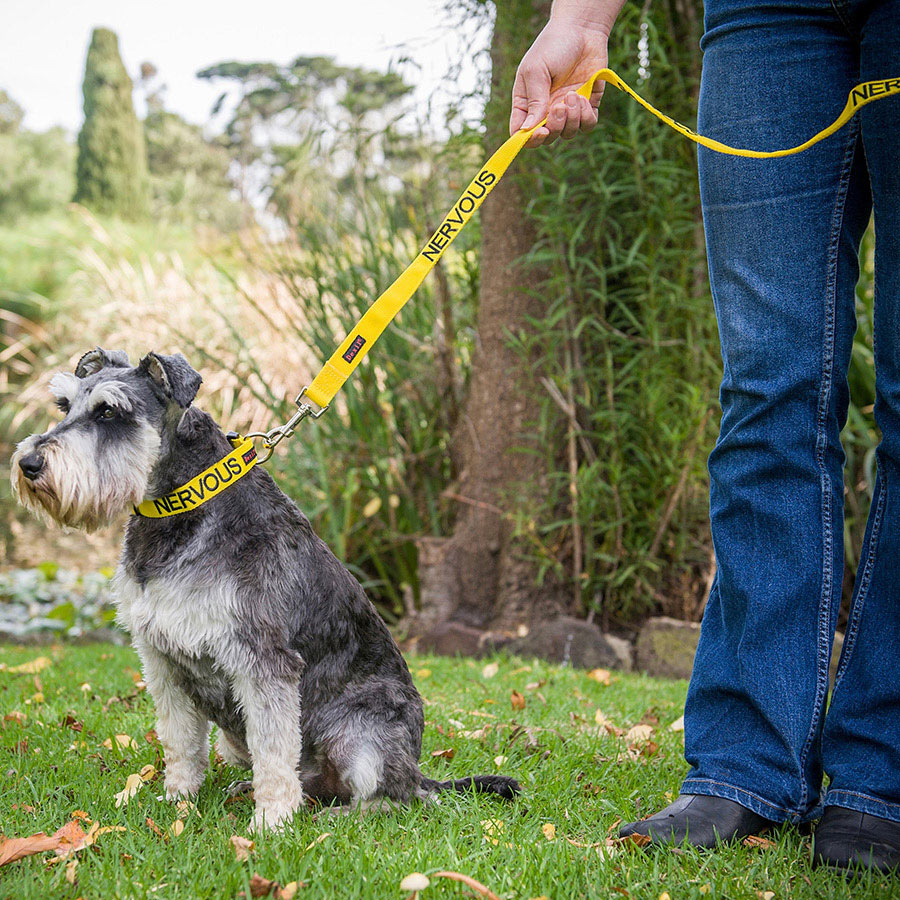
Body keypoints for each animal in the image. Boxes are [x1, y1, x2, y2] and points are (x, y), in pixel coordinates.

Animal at [12, 350, 520, 828]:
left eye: (109, 412)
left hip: (363, 735)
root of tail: (416, 767)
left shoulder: (263, 661)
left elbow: (274, 749)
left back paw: (335, 814)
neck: (182, 511)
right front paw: (177, 800)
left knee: (398, 797)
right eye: (64, 405)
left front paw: (272, 821)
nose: (28, 463)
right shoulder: (161, 660)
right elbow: (180, 741)